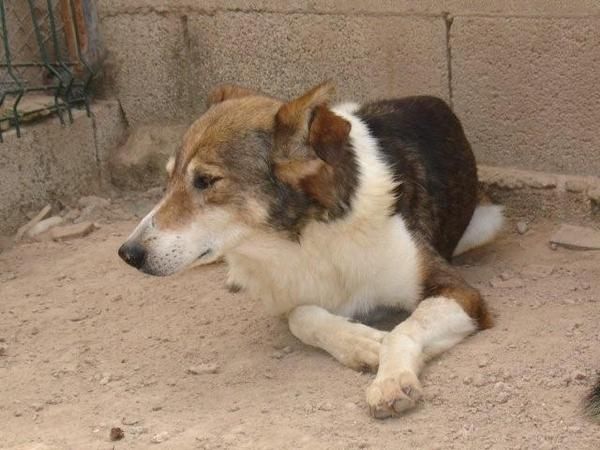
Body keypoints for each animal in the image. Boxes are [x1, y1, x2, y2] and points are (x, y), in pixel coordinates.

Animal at [117, 81, 502, 418]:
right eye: (168, 179)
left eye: (206, 181)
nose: (128, 254)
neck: (305, 239)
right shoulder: (285, 295)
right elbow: (302, 316)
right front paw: (361, 342)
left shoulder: (460, 292)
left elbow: (403, 329)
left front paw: (392, 379)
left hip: (489, 221)